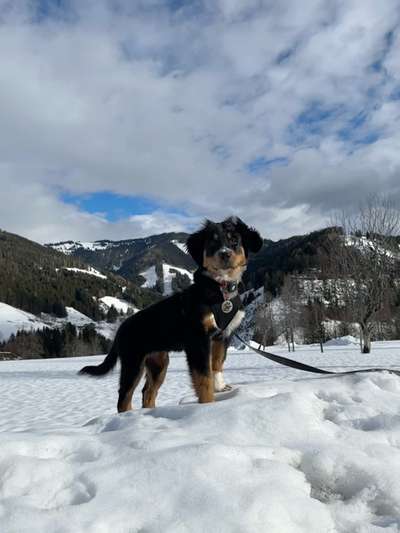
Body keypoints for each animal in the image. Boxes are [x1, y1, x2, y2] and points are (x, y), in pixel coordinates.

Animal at [80, 216, 264, 412]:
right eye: (212, 242)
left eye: (234, 240)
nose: (225, 254)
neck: (220, 291)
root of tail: (121, 328)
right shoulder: (197, 340)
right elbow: (204, 378)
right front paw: (207, 407)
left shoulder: (222, 336)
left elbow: (216, 365)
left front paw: (220, 387)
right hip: (133, 361)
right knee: (124, 397)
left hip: (158, 362)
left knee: (148, 392)